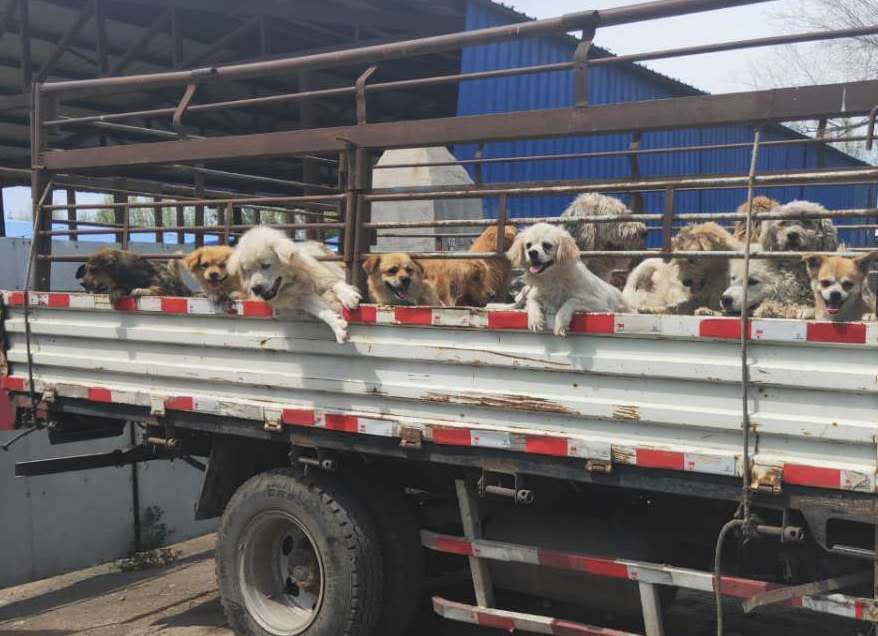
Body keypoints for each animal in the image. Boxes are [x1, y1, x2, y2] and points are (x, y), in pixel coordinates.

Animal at [228, 226, 361, 343]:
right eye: (248, 270)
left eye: (265, 265)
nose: (256, 288)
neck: (294, 281)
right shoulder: (301, 297)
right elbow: (322, 311)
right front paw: (337, 326)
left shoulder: (321, 276)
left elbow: (335, 283)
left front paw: (348, 296)